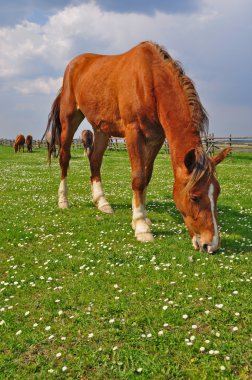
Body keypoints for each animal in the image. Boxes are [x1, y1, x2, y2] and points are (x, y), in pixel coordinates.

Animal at [44, 41, 230, 254]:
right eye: (194, 197)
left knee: (95, 160)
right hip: (70, 119)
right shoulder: (133, 133)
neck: (150, 80)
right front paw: (141, 227)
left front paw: (144, 217)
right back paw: (63, 201)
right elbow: (138, 178)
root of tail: (74, 64)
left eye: (217, 192)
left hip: (101, 128)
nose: (211, 245)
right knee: (64, 159)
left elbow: (146, 176)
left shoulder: (156, 138)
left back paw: (102, 202)